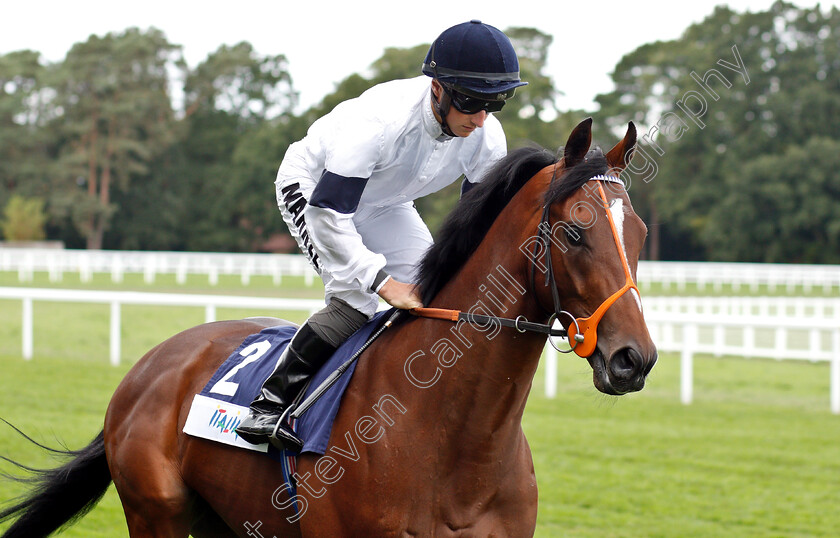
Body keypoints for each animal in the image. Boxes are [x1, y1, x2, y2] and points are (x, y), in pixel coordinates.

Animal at [0, 118, 656, 536]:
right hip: (155, 515)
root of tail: (151, 364)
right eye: (574, 231)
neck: (456, 441)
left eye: (642, 233)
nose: (635, 358)